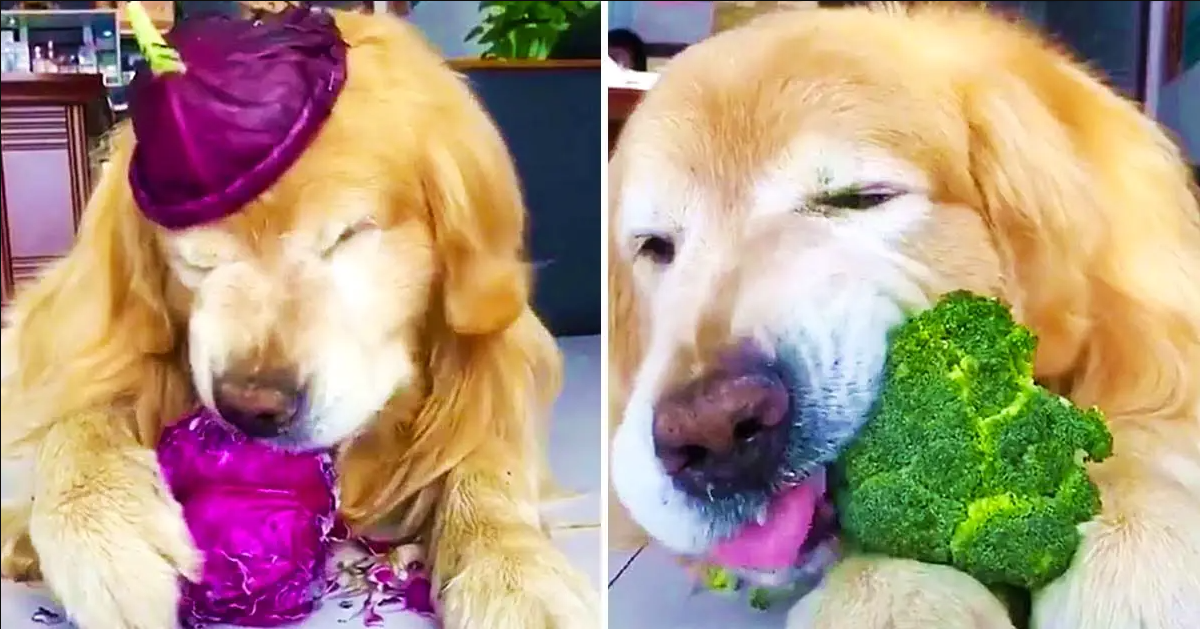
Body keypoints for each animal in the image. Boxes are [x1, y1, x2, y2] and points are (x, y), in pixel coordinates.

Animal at [0, 9, 597, 629]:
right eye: (198, 258)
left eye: (348, 234)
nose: (252, 408)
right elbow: (77, 414)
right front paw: (98, 526)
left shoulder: (497, 354)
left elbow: (486, 461)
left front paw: (513, 570)